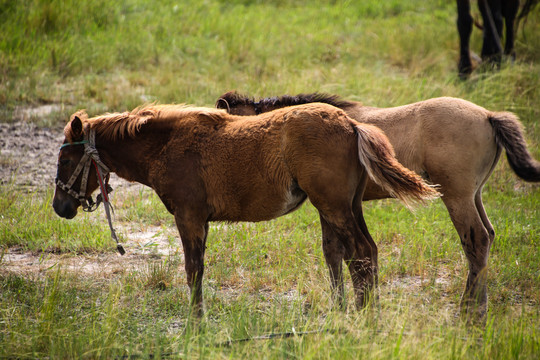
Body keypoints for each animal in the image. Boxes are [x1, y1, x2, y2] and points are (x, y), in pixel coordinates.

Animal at [52, 103, 438, 316]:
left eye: (66, 159)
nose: (60, 206)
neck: (167, 144)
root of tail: (351, 124)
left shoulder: (188, 217)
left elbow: (193, 270)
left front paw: (196, 324)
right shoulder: (200, 221)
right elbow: (197, 269)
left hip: (333, 206)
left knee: (360, 253)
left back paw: (365, 317)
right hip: (342, 207)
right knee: (351, 253)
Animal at [215, 91, 540, 316]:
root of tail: (488, 115)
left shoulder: (332, 204)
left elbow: (341, 253)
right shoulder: (331, 206)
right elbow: (333, 252)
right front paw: (340, 305)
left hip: (457, 197)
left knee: (476, 240)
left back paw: (469, 309)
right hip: (475, 195)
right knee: (488, 236)